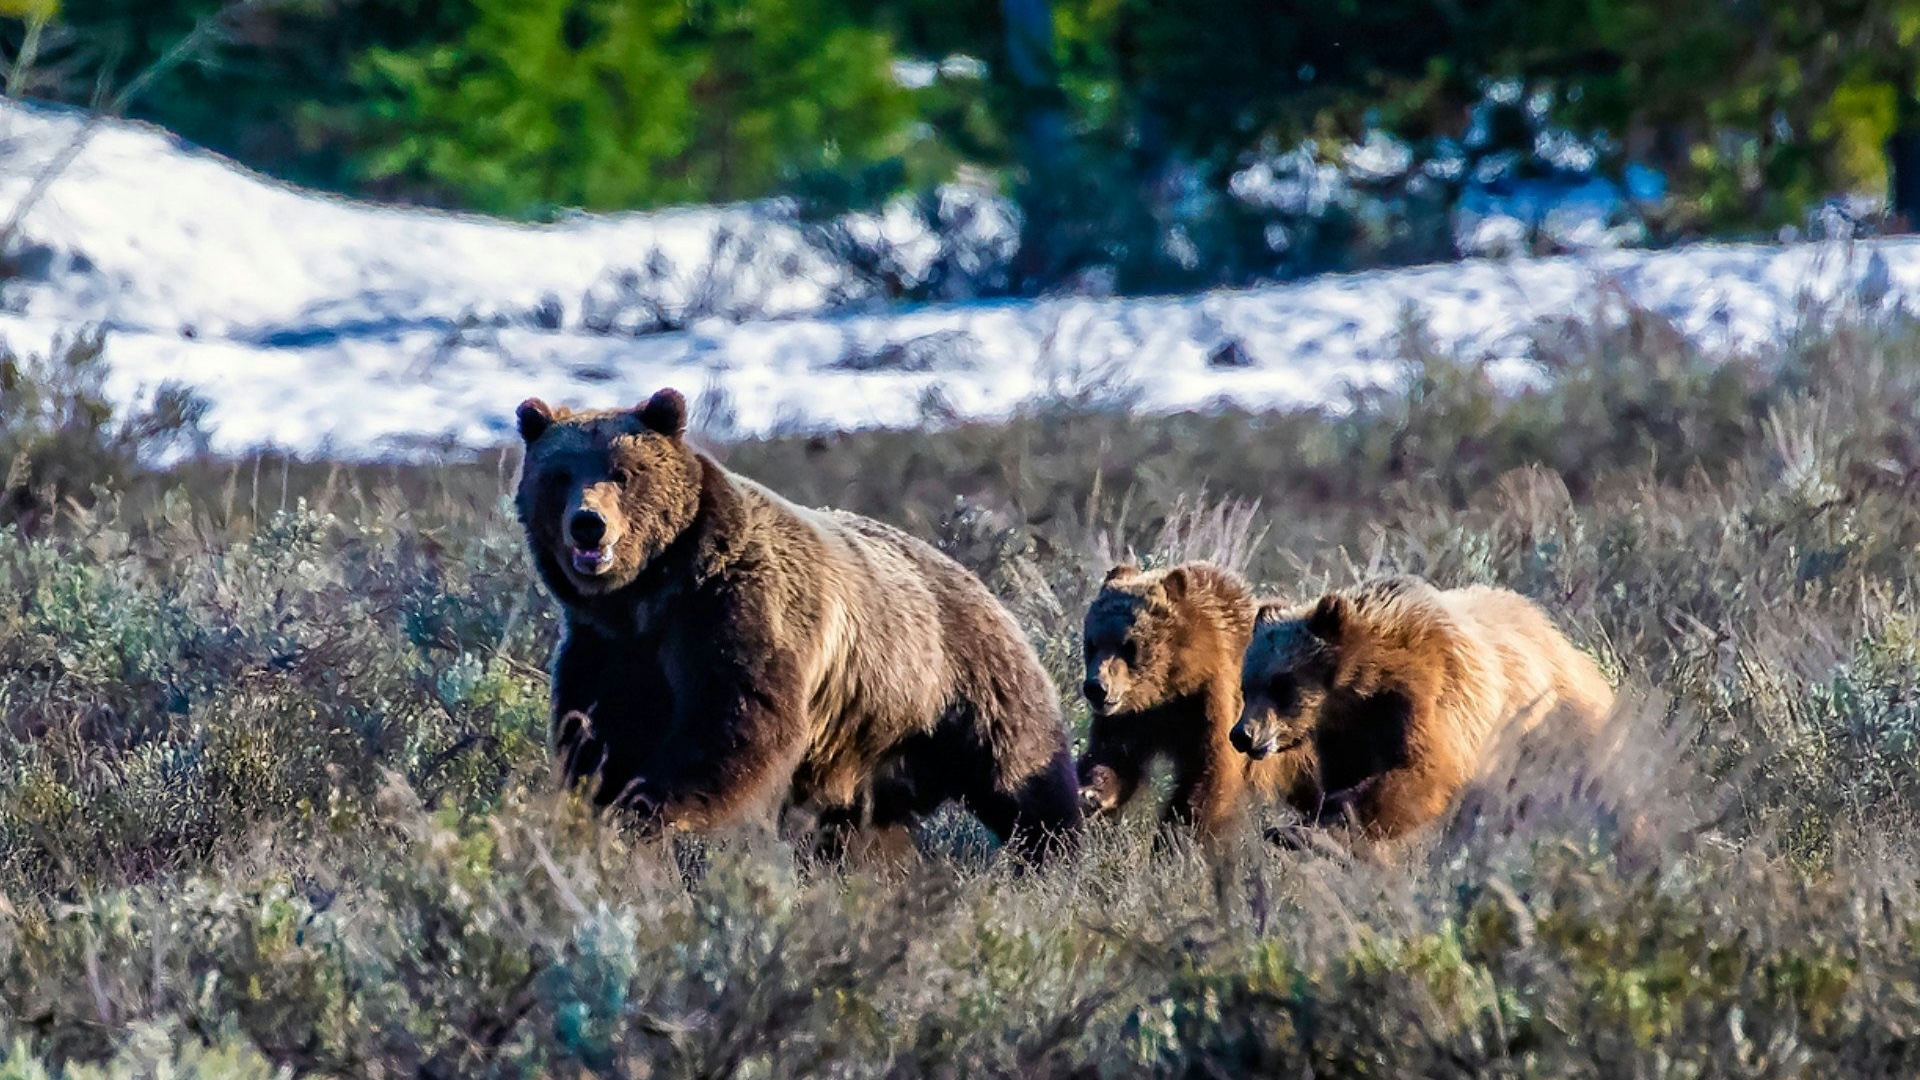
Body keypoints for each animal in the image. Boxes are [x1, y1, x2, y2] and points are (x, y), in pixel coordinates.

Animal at [510, 386, 1082, 857]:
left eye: (623, 473)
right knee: (866, 835)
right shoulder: (609, 649)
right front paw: (601, 807)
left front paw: (651, 808)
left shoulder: (737, 614)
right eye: (558, 477)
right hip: (869, 763)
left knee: (1023, 775)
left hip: (962, 685)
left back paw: (1054, 852)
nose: (588, 524)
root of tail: (975, 576)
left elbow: (733, 722)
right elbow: (599, 738)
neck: (650, 595)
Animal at [1075, 557, 1328, 837]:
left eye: (1129, 645)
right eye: (1092, 643)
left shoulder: (1212, 704)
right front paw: (1090, 792)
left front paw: (1180, 831)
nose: (1096, 687)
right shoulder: (1132, 717)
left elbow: (1208, 775)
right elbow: (1113, 756)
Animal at [1228, 572, 1605, 841]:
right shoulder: (1348, 736)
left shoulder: (1432, 699)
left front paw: (1309, 828)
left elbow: (1422, 772)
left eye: (1281, 684)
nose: (1242, 734)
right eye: (1247, 685)